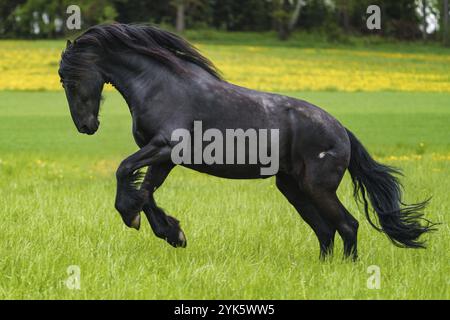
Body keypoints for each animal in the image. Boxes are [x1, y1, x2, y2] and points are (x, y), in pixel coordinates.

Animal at [58, 24, 434, 260]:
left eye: (70, 79)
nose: (86, 126)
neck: (162, 86)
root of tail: (342, 130)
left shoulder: (165, 148)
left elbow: (125, 172)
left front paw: (133, 217)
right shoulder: (163, 157)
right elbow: (146, 192)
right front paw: (172, 233)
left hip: (318, 188)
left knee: (347, 225)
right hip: (293, 188)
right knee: (326, 230)